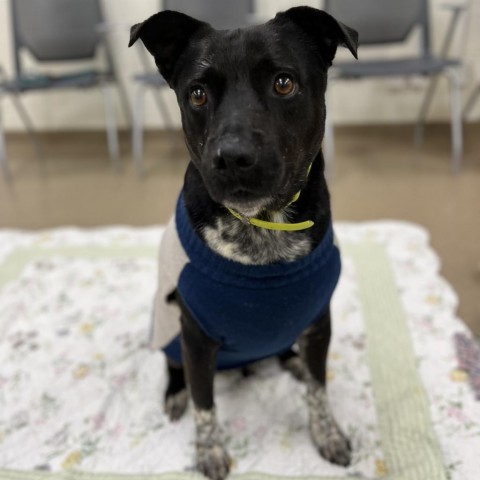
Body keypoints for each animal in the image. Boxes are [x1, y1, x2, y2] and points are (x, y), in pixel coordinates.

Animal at [129, 7, 358, 480]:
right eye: (197, 94)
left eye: (284, 82)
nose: (233, 158)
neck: (262, 230)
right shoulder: (195, 338)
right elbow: (205, 404)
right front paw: (210, 452)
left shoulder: (319, 322)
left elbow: (318, 389)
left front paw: (327, 434)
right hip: (169, 327)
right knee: (173, 367)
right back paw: (174, 394)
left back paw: (290, 360)